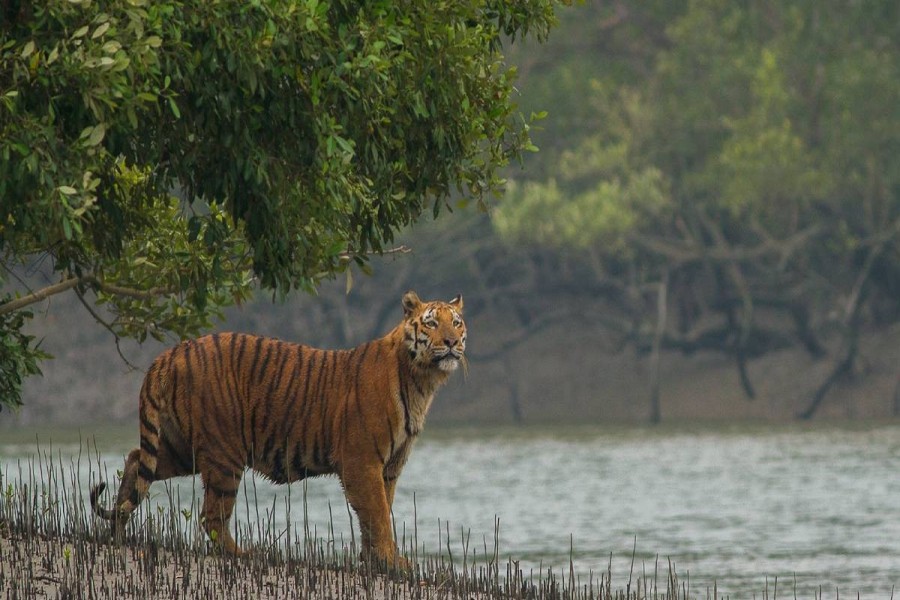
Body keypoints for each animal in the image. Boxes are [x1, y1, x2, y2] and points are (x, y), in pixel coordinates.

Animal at [90, 290, 466, 568]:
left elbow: (379, 513)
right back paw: (242, 553)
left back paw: (117, 532)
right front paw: (391, 563)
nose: (450, 342)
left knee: (136, 460)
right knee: (212, 516)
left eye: (457, 322)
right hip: (225, 453)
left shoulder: (390, 466)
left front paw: (376, 560)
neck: (422, 381)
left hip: (182, 448)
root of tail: (170, 353)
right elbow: (377, 514)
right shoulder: (362, 461)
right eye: (432, 323)